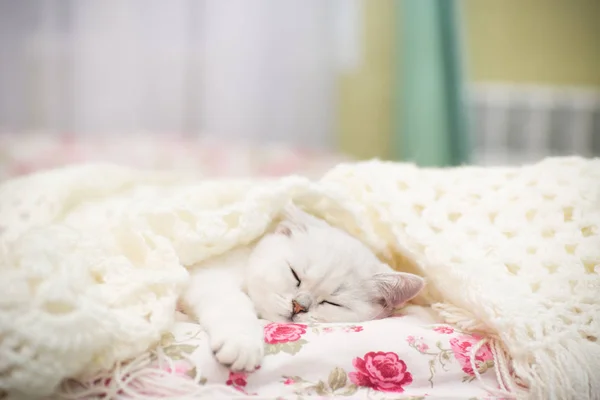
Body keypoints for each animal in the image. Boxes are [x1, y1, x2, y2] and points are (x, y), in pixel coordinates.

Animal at [180, 206, 424, 372]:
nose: (298, 306)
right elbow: (233, 303)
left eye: (333, 302)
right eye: (295, 275)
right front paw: (242, 343)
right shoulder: (209, 275)